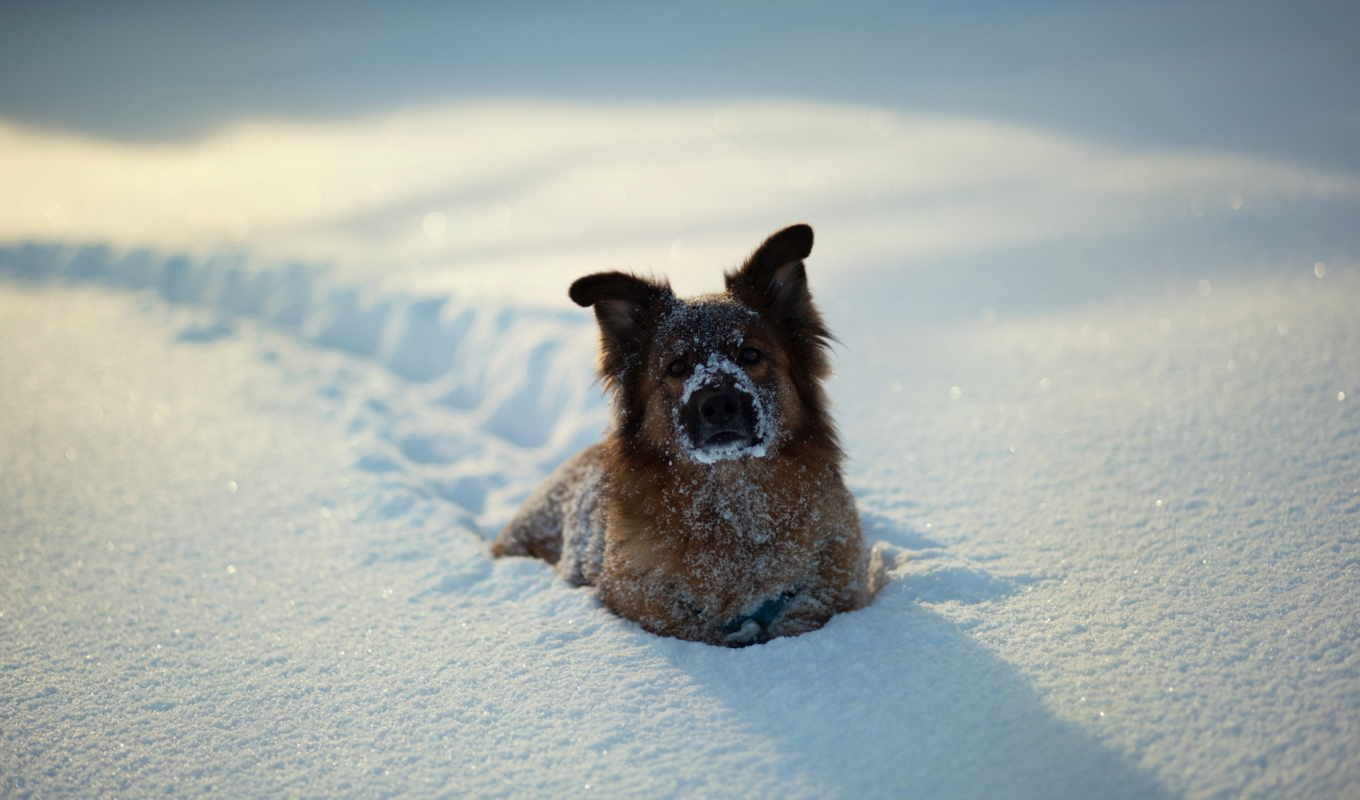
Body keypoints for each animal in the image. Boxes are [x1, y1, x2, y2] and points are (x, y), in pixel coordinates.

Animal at [492, 223, 870, 644]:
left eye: (750, 355)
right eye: (676, 367)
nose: (718, 404)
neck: (732, 505)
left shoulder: (837, 579)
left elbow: (808, 611)